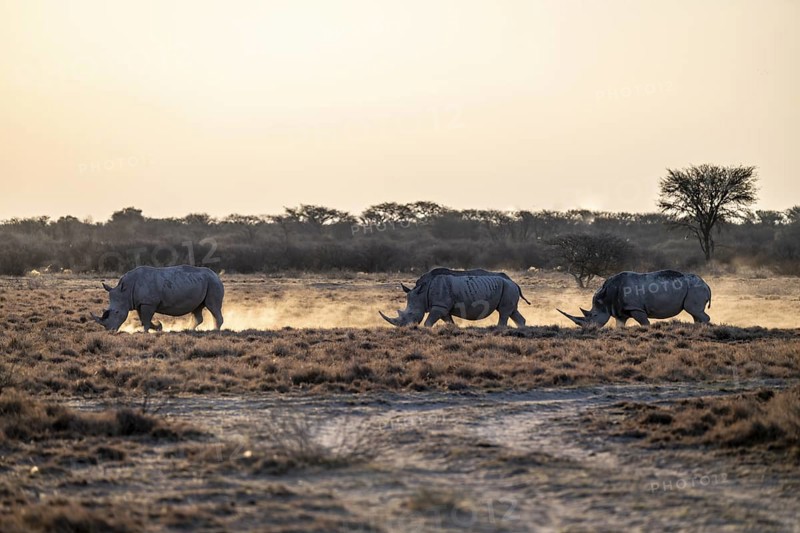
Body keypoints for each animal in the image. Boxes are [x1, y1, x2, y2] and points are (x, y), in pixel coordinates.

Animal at [91, 265, 224, 332]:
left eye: (117, 312)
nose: (110, 330)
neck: (125, 291)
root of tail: (216, 275)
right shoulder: (141, 303)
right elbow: (143, 319)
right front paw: (158, 327)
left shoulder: (149, 303)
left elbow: (145, 320)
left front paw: (145, 332)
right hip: (202, 283)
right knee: (197, 308)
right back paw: (188, 330)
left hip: (213, 283)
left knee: (213, 306)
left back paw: (215, 331)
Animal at [380, 268, 530, 327]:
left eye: (411, 315)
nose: (406, 328)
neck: (421, 293)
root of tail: (514, 282)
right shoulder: (443, 307)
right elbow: (449, 321)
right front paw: (452, 329)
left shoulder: (439, 306)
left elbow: (428, 322)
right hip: (507, 288)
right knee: (512, 311)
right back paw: (521, 327)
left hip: (508, 287)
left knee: (504, 312)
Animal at [558, 270, 711, 327]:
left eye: (594, 315)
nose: (588, 329)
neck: (606, 298)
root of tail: (706, 284)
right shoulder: (620, 311)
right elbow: (619, 326)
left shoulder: (636, 308)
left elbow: (644, 323)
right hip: (694, 289)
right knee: (695, 313)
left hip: (695, 288)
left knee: (694, 310)